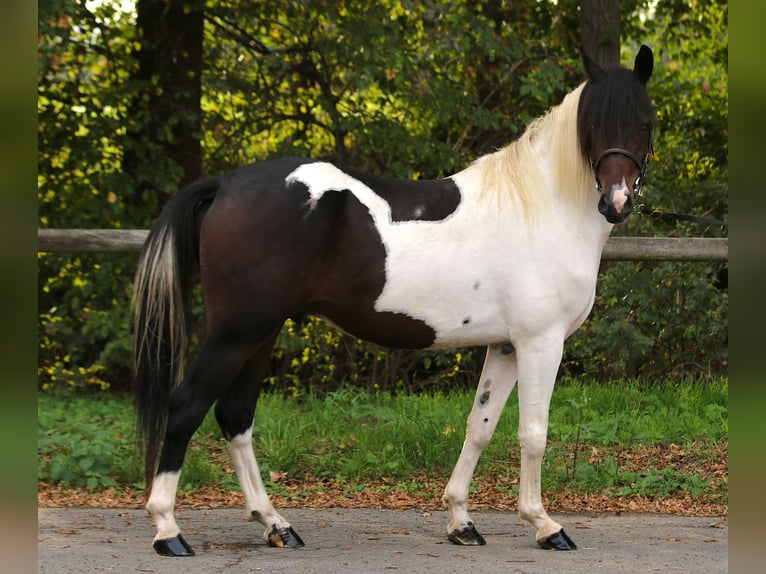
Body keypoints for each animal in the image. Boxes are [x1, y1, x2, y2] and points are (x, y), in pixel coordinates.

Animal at [132, 45, 656, 556]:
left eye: (646, 122)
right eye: (593, 124)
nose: (616, 202)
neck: (542, 207)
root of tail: (225, 185)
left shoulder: (505, 346)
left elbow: (480, 426)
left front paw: (461, 521)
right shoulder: (540, 343)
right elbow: (533, 433)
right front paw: (545, 525)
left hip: (261, 333)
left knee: (235, 416)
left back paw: (275, 525)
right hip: (237, 332)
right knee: (187, 406)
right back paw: (168, 530)